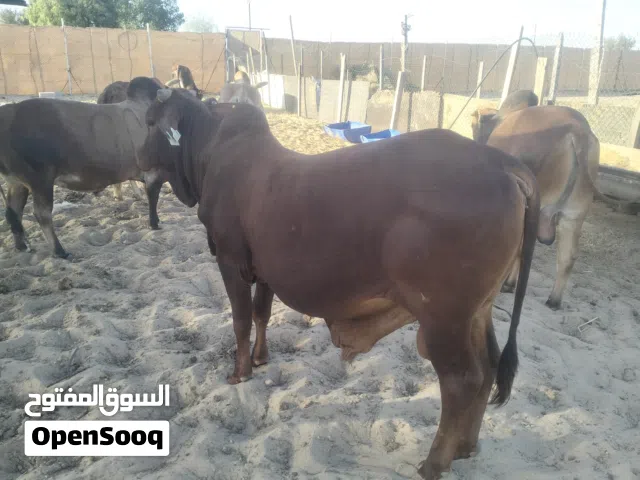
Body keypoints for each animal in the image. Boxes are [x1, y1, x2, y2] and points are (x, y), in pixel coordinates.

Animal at [0, 77, 167, 258]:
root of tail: (8, 114)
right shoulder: (153, 173)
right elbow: (153, 198)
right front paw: (155, 223)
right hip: (40, 181)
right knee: (41, 214)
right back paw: (60, 251)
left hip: (17, 182)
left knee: (13, 212)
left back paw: (22, 246)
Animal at [137, 88, 541, 479]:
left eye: (151, 121)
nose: (138, 158)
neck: (209, 150)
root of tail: (502, 164)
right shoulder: (264, 271)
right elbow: (261, 314)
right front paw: (261, 357)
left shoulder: (230, 260)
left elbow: (240, 321)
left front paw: (240, 372)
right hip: (477, 312)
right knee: (489, 367)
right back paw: (466, 447)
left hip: (443, 318)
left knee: (462, 381)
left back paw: (434, 463)